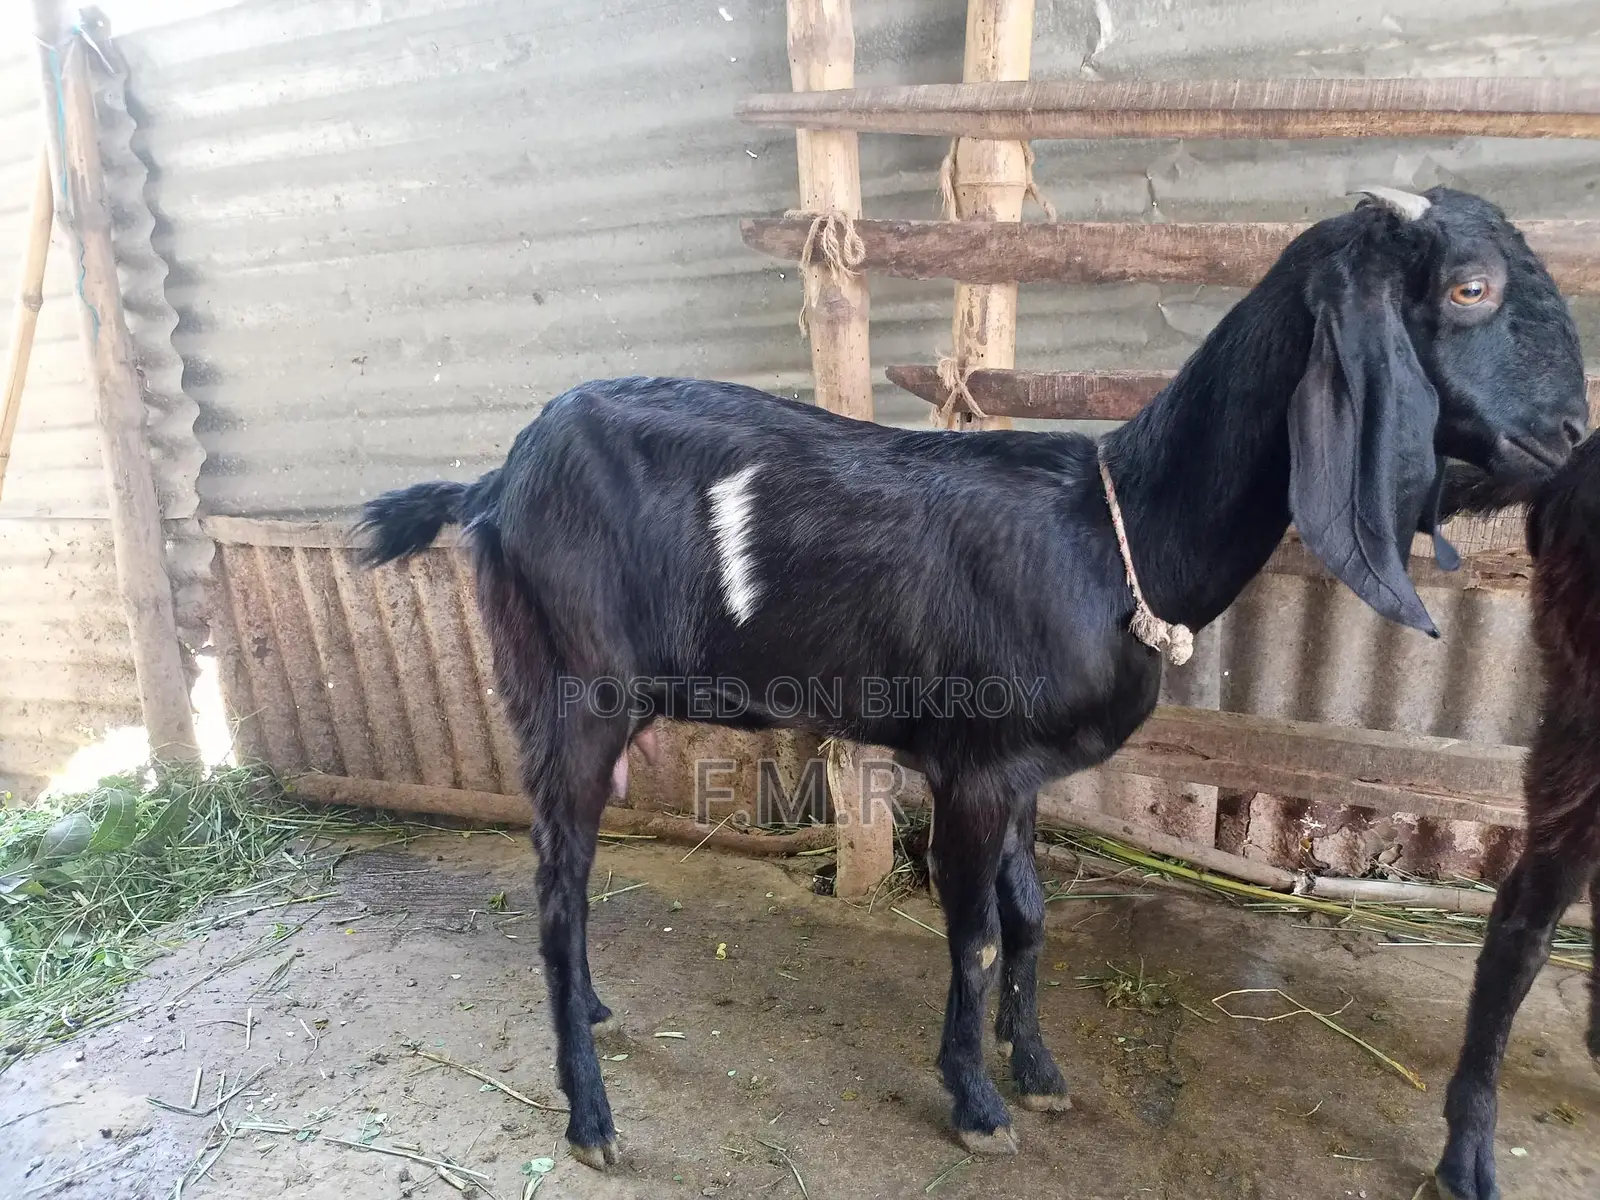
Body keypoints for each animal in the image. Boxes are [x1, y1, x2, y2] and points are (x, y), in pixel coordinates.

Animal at [358, 187, 1587, 1169]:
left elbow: (1034, 917)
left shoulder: (1028, 771)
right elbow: (977, 934)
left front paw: (1035, 1068)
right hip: (568, 696)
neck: (1120, 531)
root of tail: (493, 482)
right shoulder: (974, 764)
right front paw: (978, 1101)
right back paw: (593, 1118)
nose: (1575, 430)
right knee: (556, 895)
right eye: (1470, 288)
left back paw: (602, 1015)